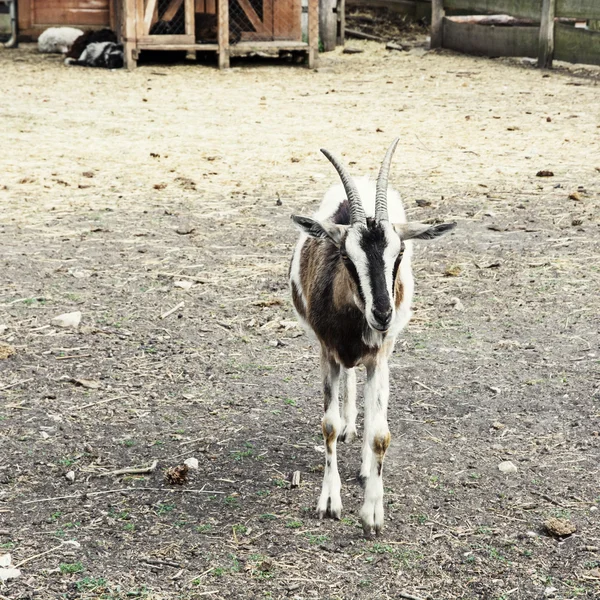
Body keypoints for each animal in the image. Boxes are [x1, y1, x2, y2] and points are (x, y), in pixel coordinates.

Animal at [290, 139, 454, 536]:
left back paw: (365, 464)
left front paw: (372, 515)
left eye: (400, 252)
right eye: (346, 257)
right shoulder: (328, 352)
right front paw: (329, 502)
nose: (382, 314)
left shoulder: (379, 355)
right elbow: (328, 425)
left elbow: (381, 434)